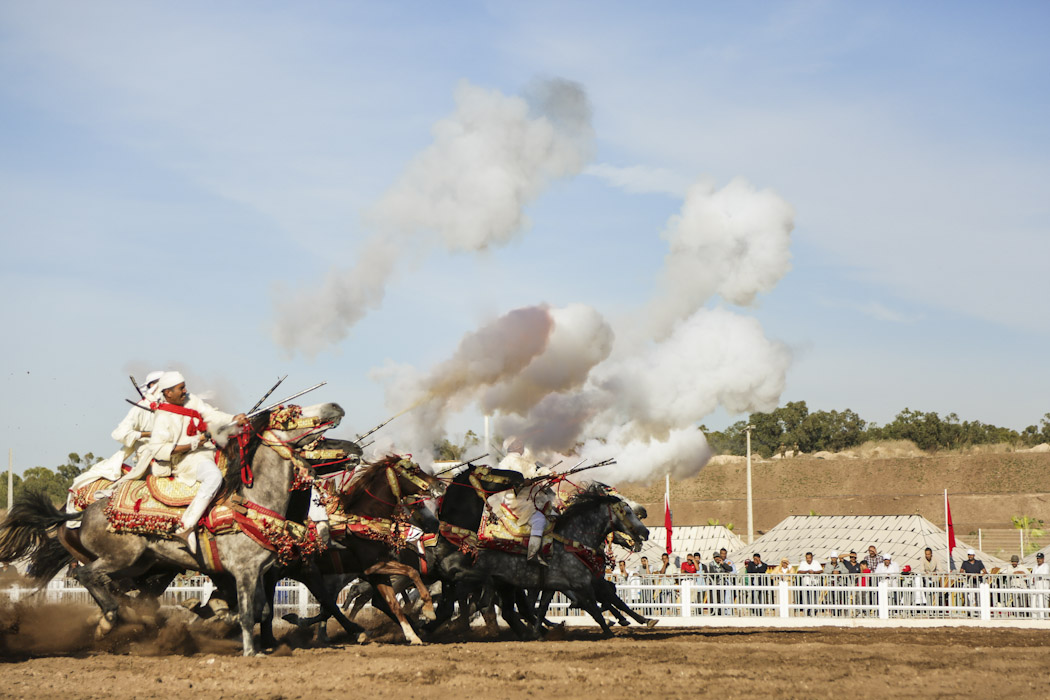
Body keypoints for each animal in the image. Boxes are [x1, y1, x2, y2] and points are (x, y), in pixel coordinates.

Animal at [0, 402, 348, 654]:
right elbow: (249, 613)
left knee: (115, 589)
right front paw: (248, 648)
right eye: (295, 416)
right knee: (87, 576)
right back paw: (109, 620)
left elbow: (259, 611)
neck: (254, 503)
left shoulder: (260, 571)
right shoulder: (244, 571)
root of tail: (84, 512)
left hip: (139, 566)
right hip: (122, 558)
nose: (335, 406)